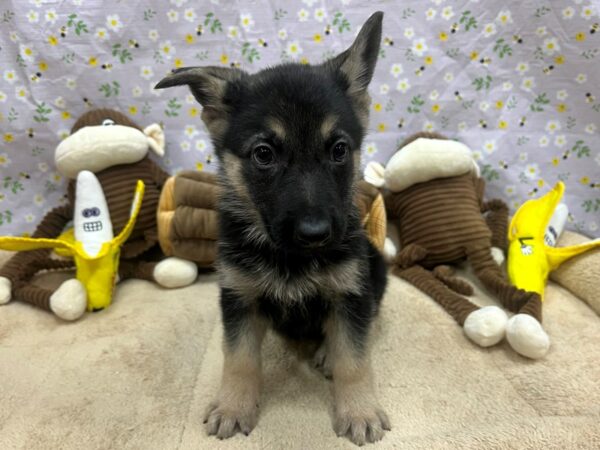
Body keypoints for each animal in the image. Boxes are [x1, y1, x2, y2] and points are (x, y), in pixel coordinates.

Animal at [155, 11, 390, 446]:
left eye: (339, 150)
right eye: (263, 154)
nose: (315, 234)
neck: (290, 258)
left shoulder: (350, 293)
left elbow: (355, 358)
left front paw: (359, 411)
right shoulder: (239, 298)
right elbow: (239, 359)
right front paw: (233, 407)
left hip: (375, 267)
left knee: (371, 316)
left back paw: (327, 352)